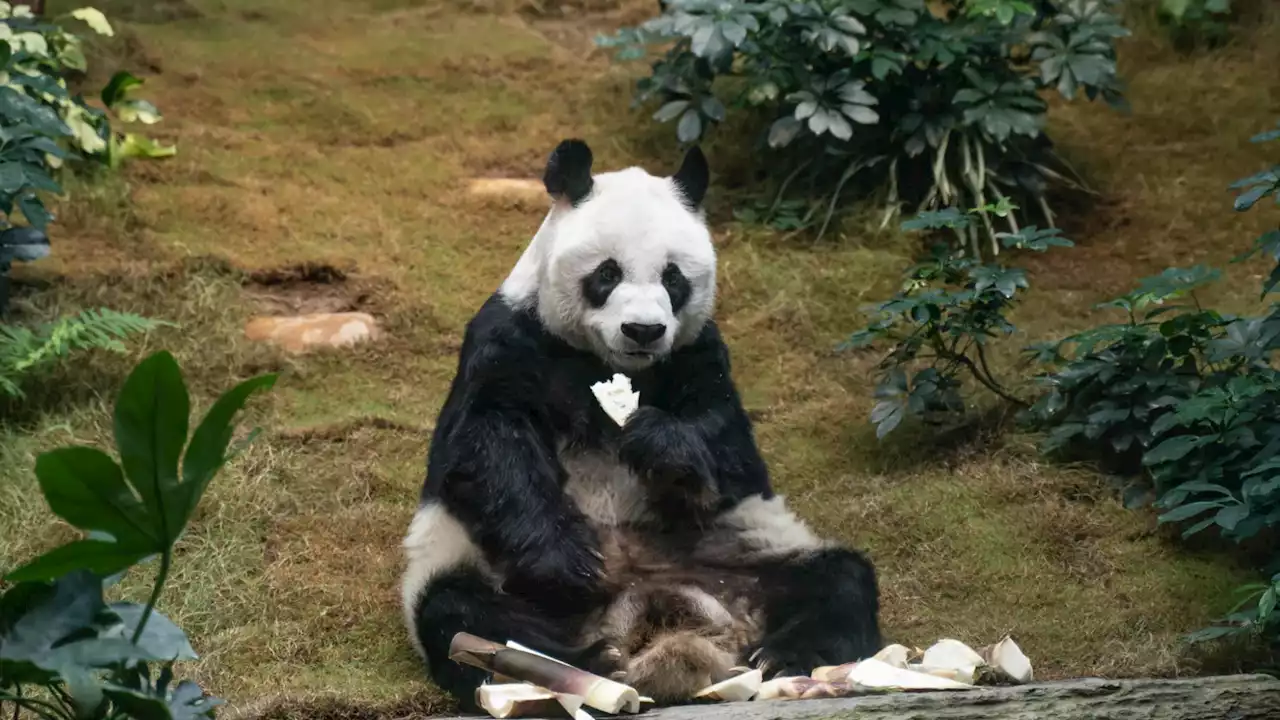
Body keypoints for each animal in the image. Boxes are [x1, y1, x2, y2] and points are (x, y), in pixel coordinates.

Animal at [396, 139, 880, 707]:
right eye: (607, 273)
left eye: (673, 277)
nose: (643, 330)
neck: (609, 363)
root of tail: (653, 617)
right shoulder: (509, 337)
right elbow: (487, 443)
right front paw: (569, 560)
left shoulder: (697, 351)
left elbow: (728, 443)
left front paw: (660, 444)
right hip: (484, 568)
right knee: (460, 611)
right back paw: (583, 662)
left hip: (746, 552)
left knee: (837, 578)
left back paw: (784, 657)